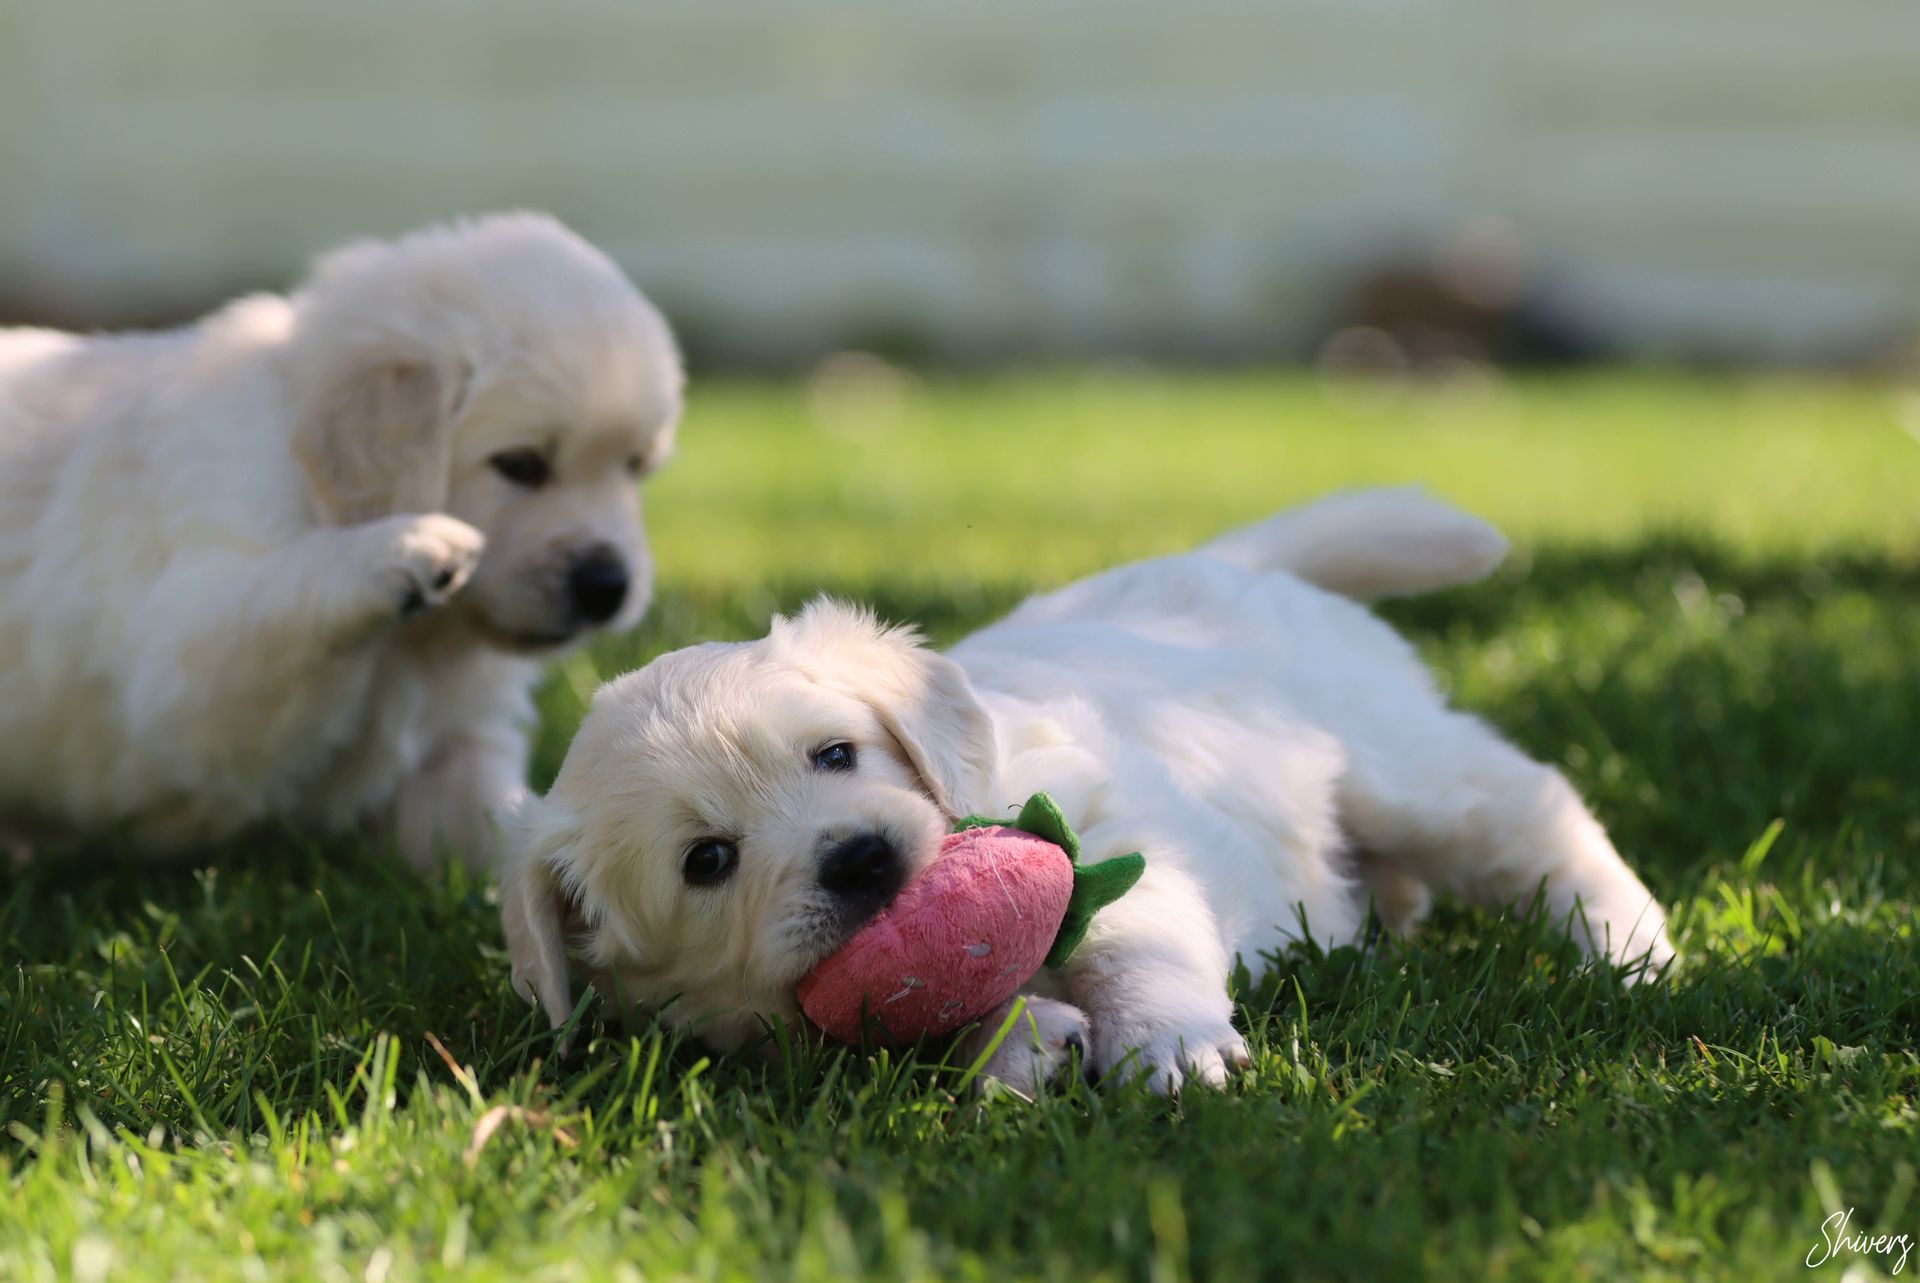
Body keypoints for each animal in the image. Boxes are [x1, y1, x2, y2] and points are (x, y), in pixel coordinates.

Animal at [0, 213, 682, 868]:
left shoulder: (459, 743)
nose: (609, 586)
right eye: (521, 465)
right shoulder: (182, 685)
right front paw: (402, 547)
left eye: (636, 466)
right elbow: (274, 599)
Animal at [501, 490, 1675, 1091]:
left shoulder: (1113, 833)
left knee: (1537, 816)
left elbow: (1131, 938)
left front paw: (1169, 1044)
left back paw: (1632, 946)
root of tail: (1240, 562)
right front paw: (1025, 1044)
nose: (863, 858)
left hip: (1404, 768)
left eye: (836, 754)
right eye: (708, 861)